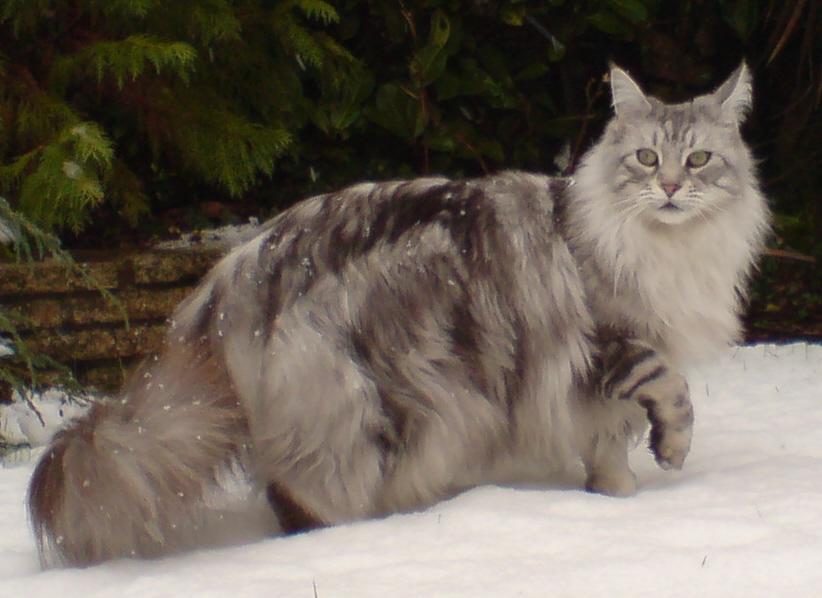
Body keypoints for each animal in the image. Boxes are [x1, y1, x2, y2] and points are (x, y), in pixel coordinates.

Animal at [27, 63, 772, 568]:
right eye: (646, 158)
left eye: (698, 159)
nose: (670, 187)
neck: (662, 247)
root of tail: (235, 269)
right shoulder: (611, 345)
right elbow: (668, 392)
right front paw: (666, 456)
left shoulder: (593, 387)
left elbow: (606, 448)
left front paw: (614, 499)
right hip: (378, 397)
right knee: (310, 493)